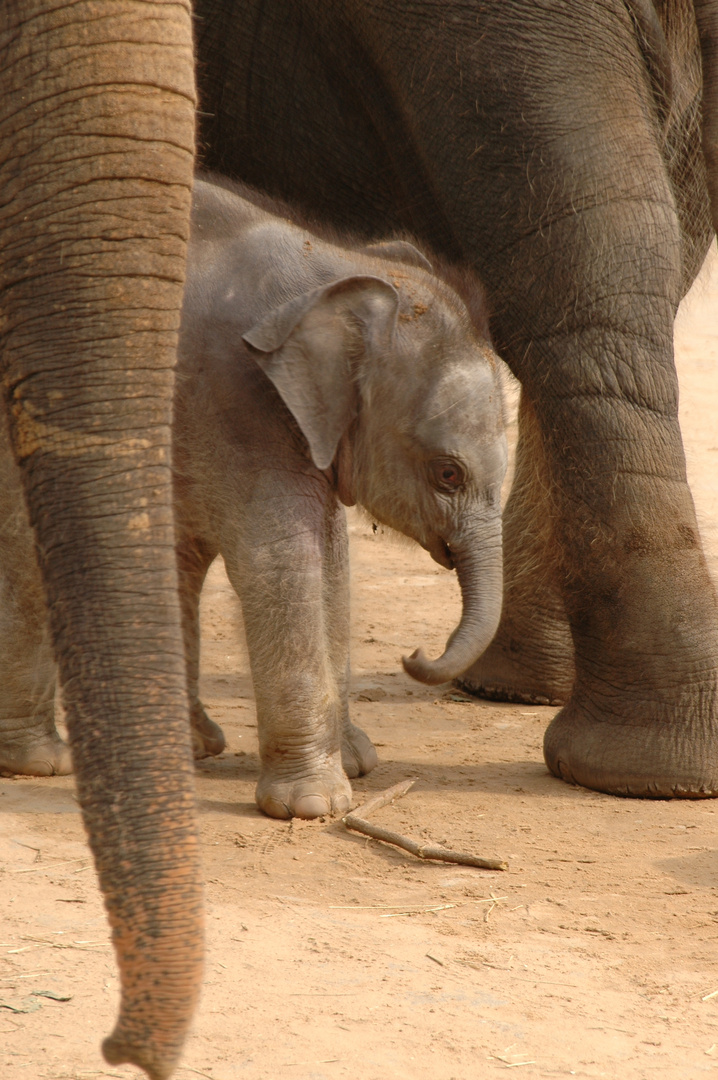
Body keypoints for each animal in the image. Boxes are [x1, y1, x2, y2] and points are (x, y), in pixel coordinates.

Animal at [175, 177, 507, 816]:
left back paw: (191, 745)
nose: (413, 654)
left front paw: (355, 763)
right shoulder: (237, 401)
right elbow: (282, 560)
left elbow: (333, 559)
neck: (333, 269)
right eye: (448, 474)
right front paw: (314, 806)